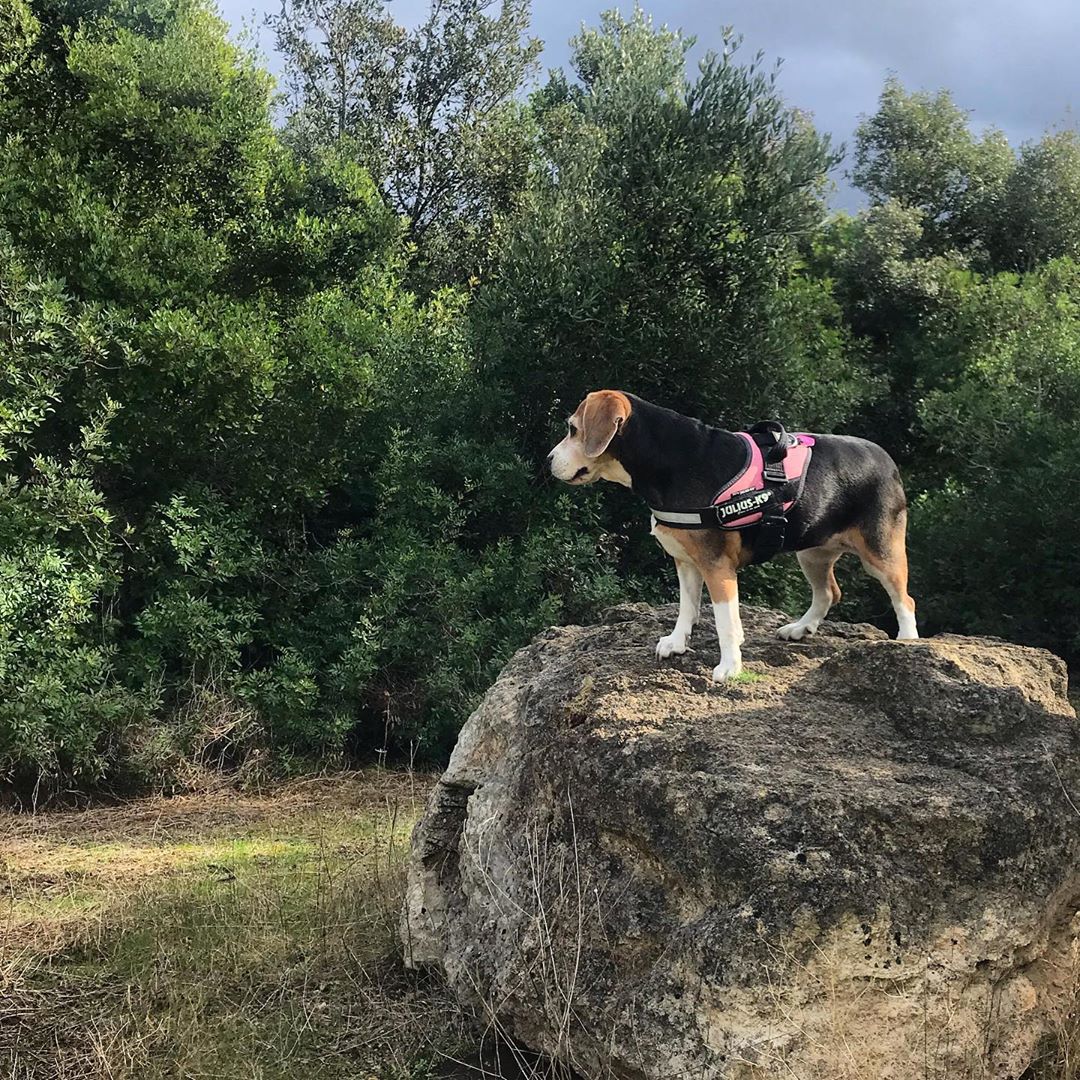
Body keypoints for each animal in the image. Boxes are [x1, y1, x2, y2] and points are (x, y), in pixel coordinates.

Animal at [548, 390, 920, 682]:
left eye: (573, 429)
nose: (548, 459)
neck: (672, 460)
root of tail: (886, 458)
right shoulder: (686, 562)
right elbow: (687, 607)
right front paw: (677, 643)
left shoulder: (717, 566)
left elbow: (725, 622)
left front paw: (729, 667)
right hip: (812, 552)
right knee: (829, 592)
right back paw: (800, 628)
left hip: (881, 551)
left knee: (904, 599)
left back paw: (907, 641)